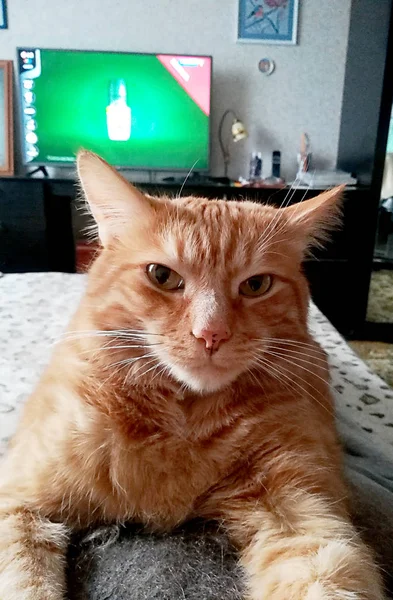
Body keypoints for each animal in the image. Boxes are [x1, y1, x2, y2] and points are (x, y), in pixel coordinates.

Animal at [0, 152, 382, 600]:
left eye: (256, 285)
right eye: (162, 276)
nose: (210, 333)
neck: (181, 420)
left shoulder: (303, 513)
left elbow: (326, 575)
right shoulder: (17, 499)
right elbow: (24, 582)